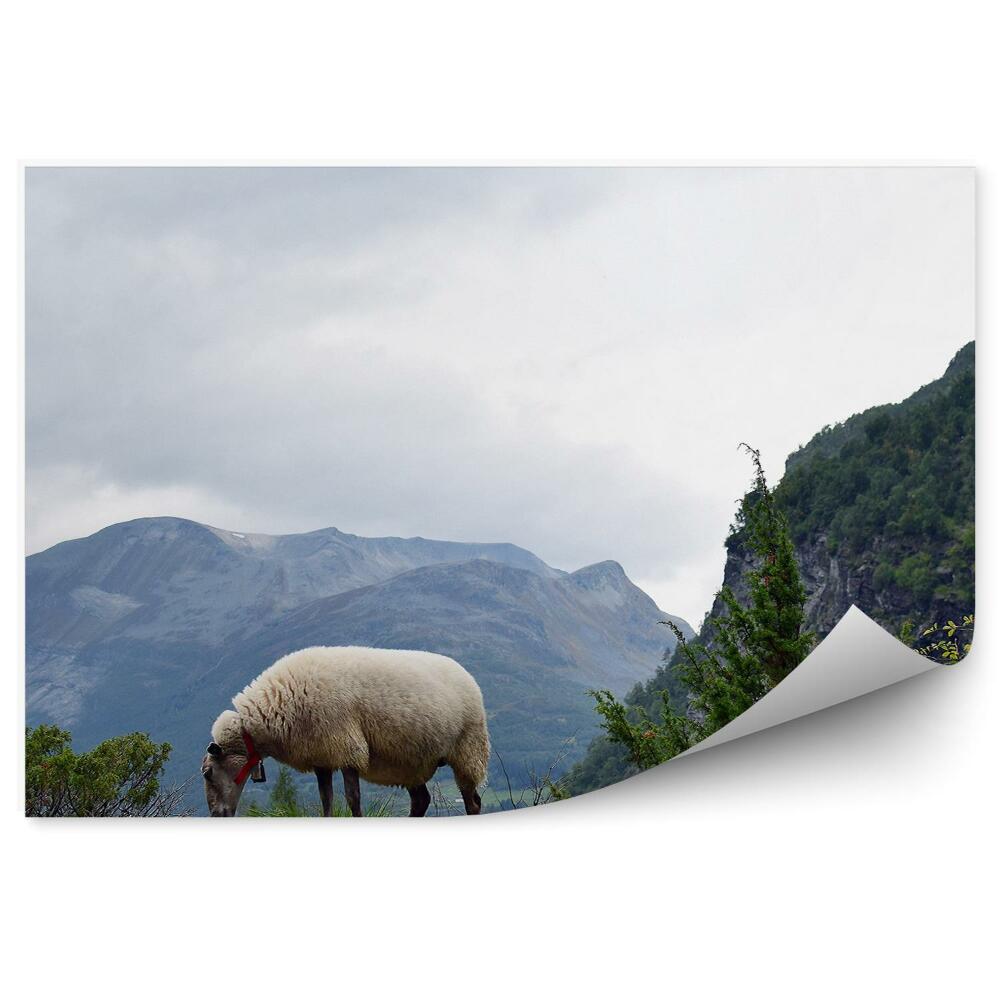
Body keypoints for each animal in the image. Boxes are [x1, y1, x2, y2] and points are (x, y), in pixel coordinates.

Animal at [201, 645, 491, 817]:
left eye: (208, 773)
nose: (216, 815)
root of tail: (462, 670)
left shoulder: (347, 747)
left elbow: (353, 799)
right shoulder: (321, 756)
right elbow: (326, 800)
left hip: (468, 749)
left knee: (472, 801)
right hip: (410, 761)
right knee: (421, 800)